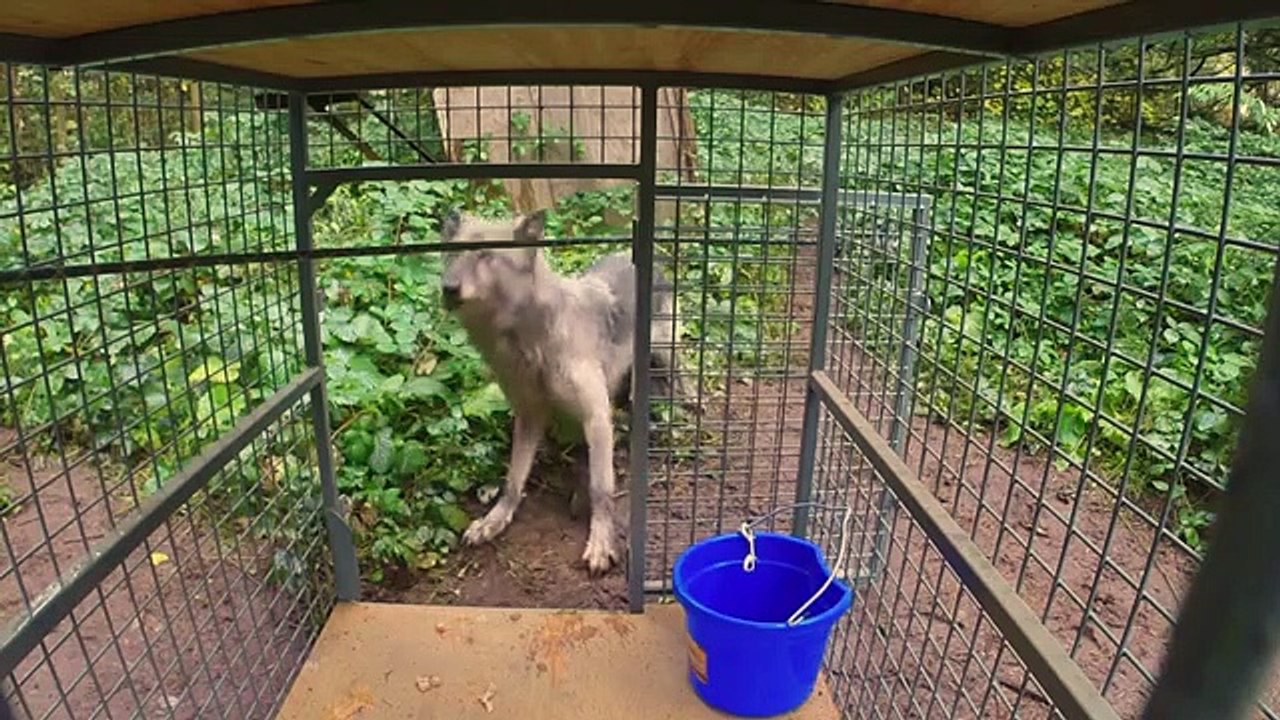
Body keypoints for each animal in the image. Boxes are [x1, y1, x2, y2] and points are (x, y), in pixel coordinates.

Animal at [439, 209, 684, 575]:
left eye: (486, 255)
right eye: (453, 254)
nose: (448, 288)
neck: (528, 343)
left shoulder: (596, 417)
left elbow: (601, 489)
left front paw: (601, 544)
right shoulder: (529, 415)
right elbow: (513, 480)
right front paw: (494, 521)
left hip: (667, 358)